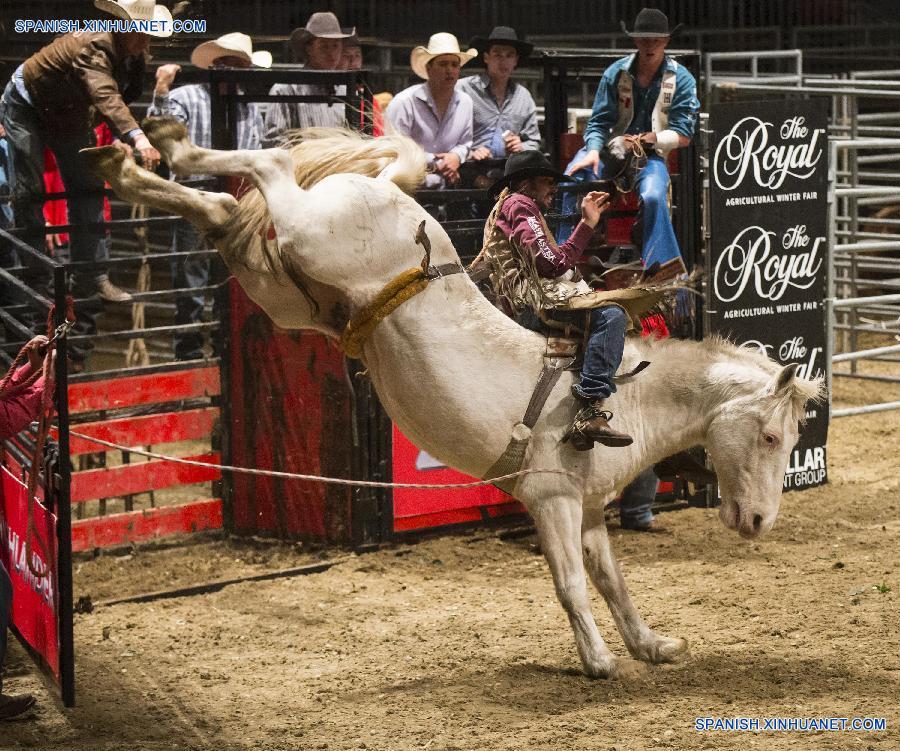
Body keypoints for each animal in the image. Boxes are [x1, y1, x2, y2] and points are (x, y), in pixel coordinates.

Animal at [81, 121, 823, 679]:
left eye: (791, 440)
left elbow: (612, 581)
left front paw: (651, 643)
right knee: (267, 164)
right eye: (769, 436)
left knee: (221, 211)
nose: (760, 521)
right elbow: (570, 583)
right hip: (307, 235)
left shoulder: (585, 507)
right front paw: (598, 659)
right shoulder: (550, 498)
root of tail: (386, 190)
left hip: (282, 283)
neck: (630, 395)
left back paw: (127, 166)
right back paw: (168, 143)